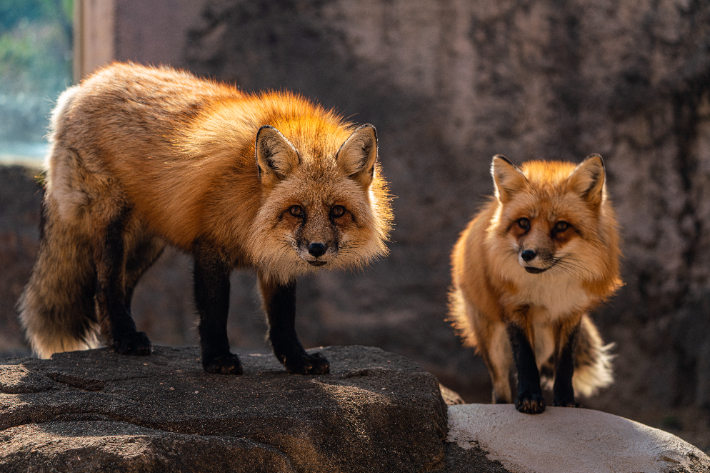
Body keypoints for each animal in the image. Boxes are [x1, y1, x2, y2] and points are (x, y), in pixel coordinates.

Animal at [16, 62, 394, 374]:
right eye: (296, 211)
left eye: (337, 212)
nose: (317, 249)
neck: (251, 202)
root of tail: (80, 87)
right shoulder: (210, 245)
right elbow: (214, 311)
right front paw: (217, 359)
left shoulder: (278, 255)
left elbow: (283, 317)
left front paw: (297, 360)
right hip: (112, 228)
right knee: (105, 286)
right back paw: (125, 338)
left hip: (145, 245)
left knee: (112, 290)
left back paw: (119, 337)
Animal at [450, 155, 624, 412]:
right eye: (523, 223)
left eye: (561, 226)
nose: (528, 254)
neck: (547, 289)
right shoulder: (515, 308)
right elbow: (525, 359)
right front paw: (529, 398)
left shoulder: (571, 313)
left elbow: (565, 365)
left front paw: (565, 402)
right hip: (492, 340)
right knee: (499, 388)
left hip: (544, 342)